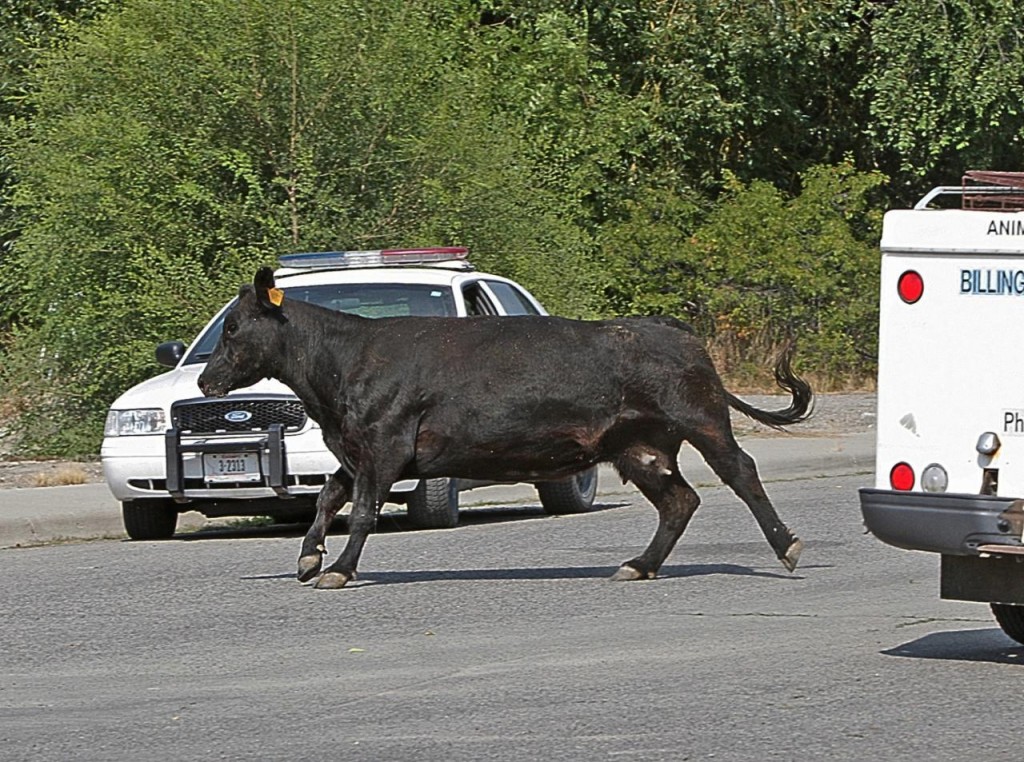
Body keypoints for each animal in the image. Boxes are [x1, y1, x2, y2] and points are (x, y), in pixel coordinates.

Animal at [197, 267, 813, 590]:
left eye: (234, 328)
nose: (205, 380)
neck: (342, 366)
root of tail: (672, 328)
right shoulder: (356, 451)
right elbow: (328, 498)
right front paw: (308, 558)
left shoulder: (384, 445)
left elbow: (365, 512)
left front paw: (340, 570)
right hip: (637, 445)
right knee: (679, 500)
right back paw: (639, 565)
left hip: (701, 419)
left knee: (741, 472)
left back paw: (787, 546)